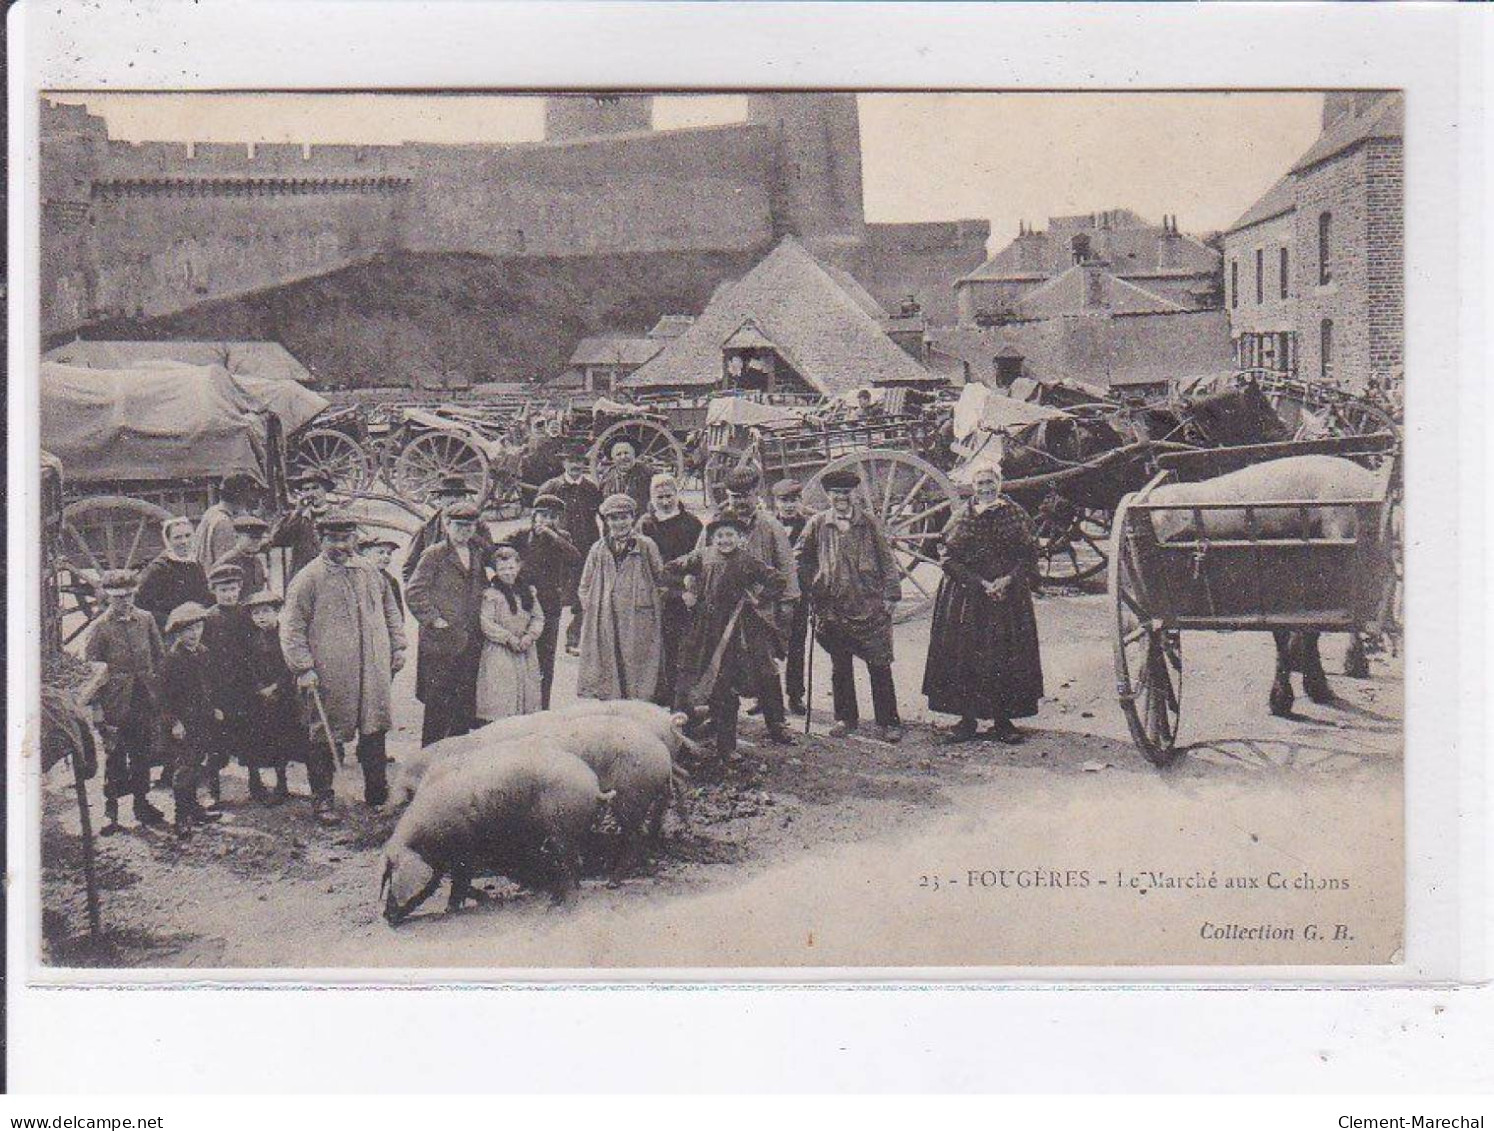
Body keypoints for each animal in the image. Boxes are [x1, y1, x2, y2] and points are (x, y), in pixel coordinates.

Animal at [379, 741, 612, 926]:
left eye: (392, 877)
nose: (386, 917)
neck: (424, 842)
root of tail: (594, 786)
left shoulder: (465, 850)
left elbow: (460, 879)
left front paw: (450, 910)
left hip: (562, 832)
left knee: (570, 867)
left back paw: (560, 908)